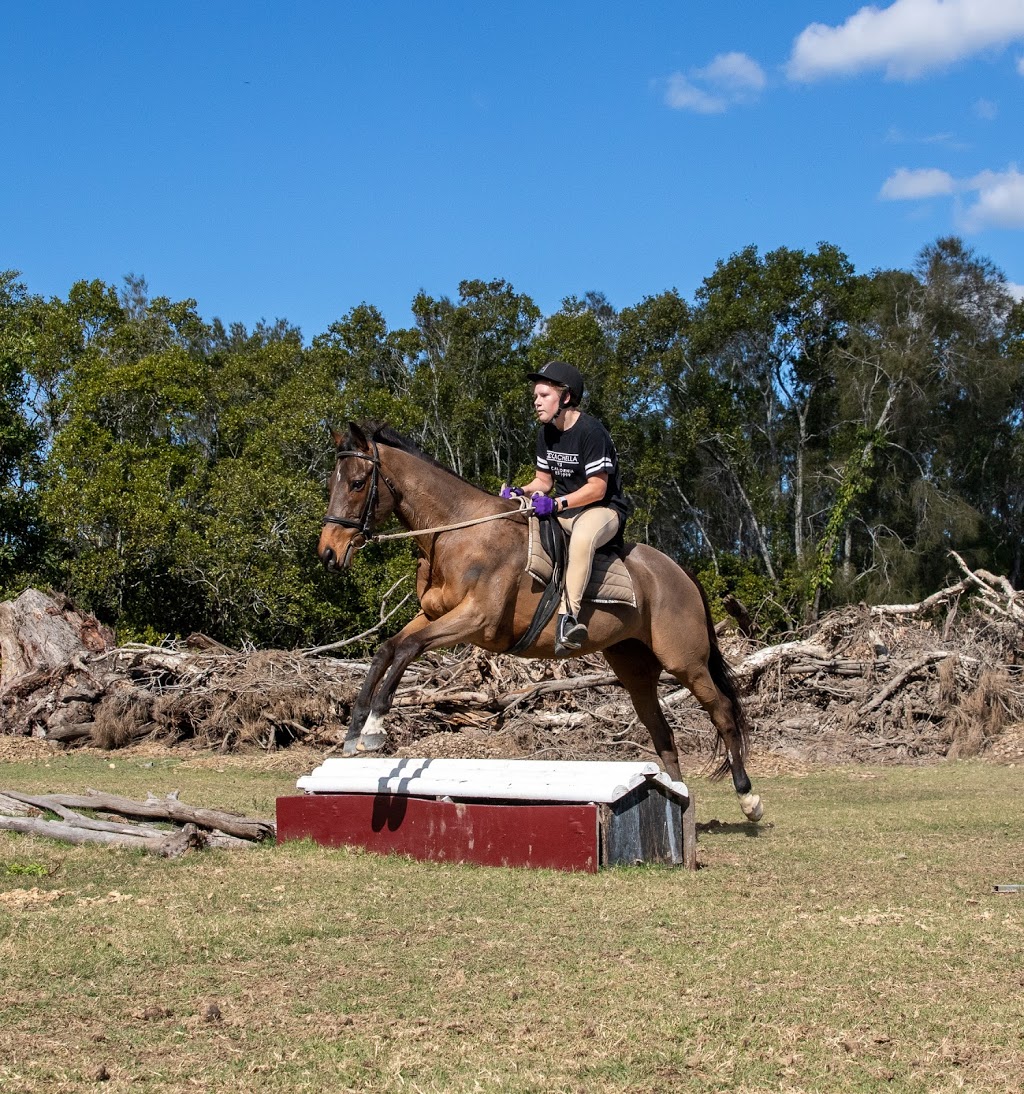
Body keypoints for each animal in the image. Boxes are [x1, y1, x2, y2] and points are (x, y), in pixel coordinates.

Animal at [317, 417, 761, 822]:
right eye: (332, 484)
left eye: (357, 483)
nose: (327, 554)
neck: (456, 533)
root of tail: (680, 571)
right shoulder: (431, 614)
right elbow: (387, 649)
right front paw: (354, 731)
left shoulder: (476, 620)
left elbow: (407, 648)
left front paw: (375, 726)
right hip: (634, 667)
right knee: (661, 730)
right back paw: (677, 797)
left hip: (685, 661)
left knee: (722, 711)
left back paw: (748, 799)